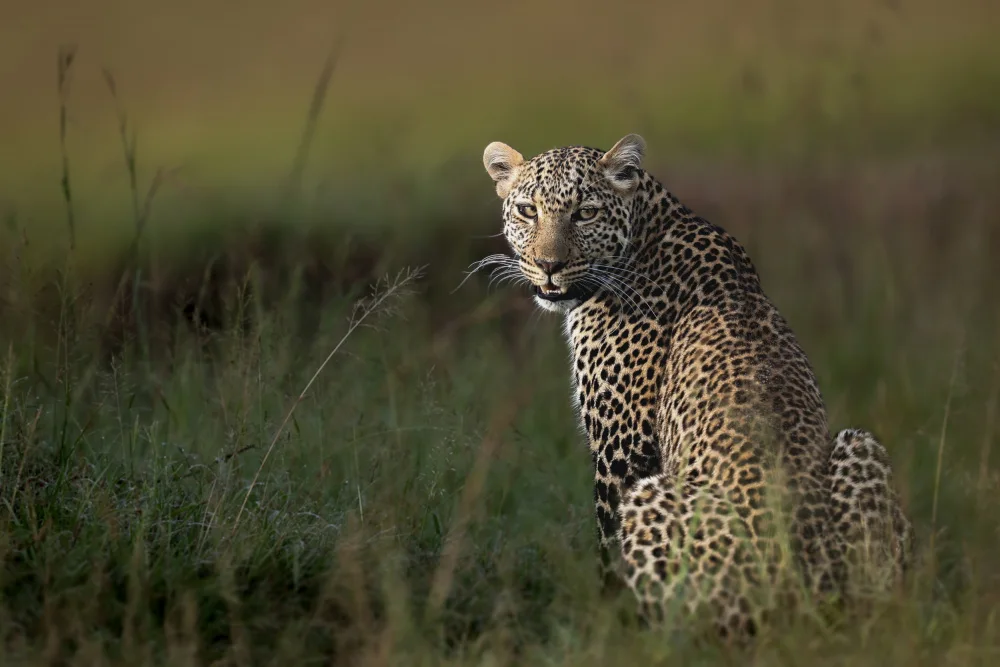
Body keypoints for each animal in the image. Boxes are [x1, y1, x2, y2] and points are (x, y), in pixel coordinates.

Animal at [478, 133, 913, 640]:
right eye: (528, 211)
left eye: (584, 213)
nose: (549, 265)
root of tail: (798, 596)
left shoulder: (623, 450)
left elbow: (609, 553)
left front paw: (608, 628)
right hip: (859, 446)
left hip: (651, 500)